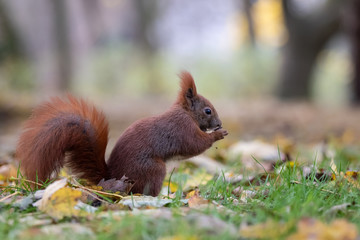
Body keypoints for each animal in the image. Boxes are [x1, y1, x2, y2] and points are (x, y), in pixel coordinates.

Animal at [16, 71, 228, 197]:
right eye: (208, 111)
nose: (219, 124)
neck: (187, 113)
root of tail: (112, 177)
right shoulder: (182, 128)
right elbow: (195, 144)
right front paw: (217, 135)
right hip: (152, 169)